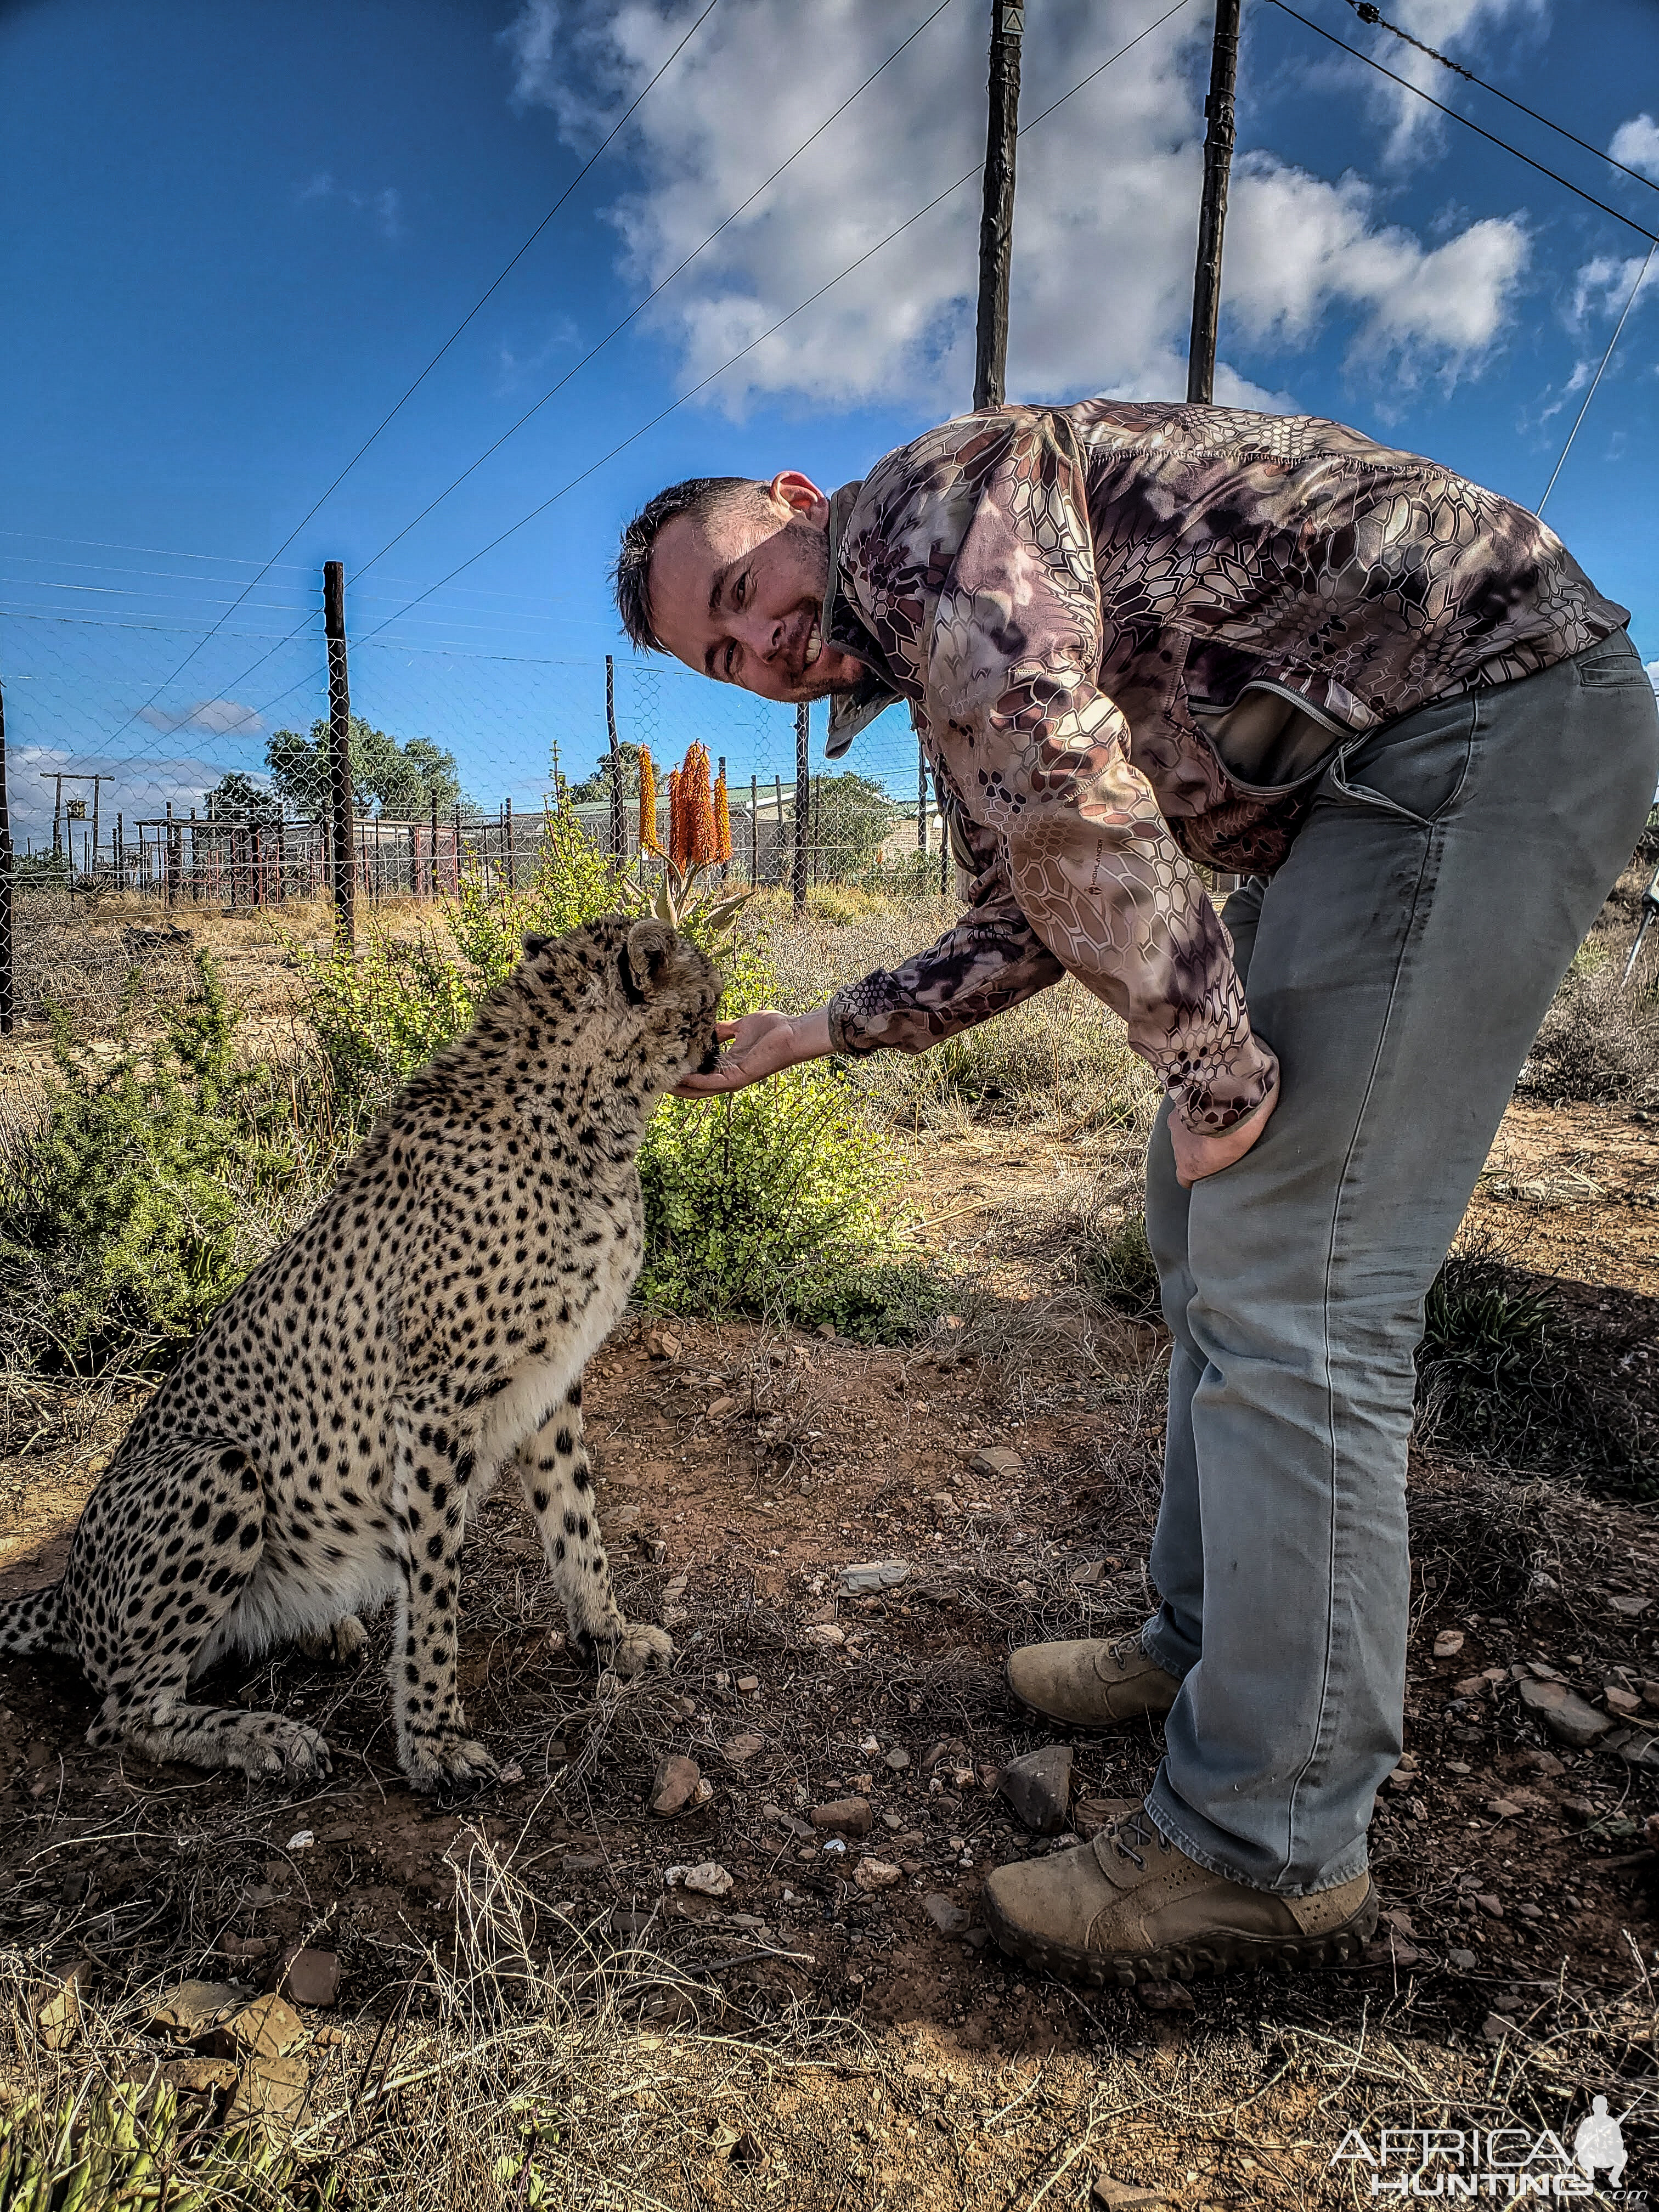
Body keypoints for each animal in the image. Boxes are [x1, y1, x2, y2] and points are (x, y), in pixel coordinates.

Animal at [0, 916, 721, 1796]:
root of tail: (66, 1590)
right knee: (125, 1712)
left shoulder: (553, 1382)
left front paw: (609, 1639)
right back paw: (269, 1739)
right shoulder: (439, 1401)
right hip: (218, 1468)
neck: (590, 1118)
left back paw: (319, 1631)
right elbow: (436, 1585)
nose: (723, 1039)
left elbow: (576, 1522)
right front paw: (436, 1743)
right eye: (707, 998)